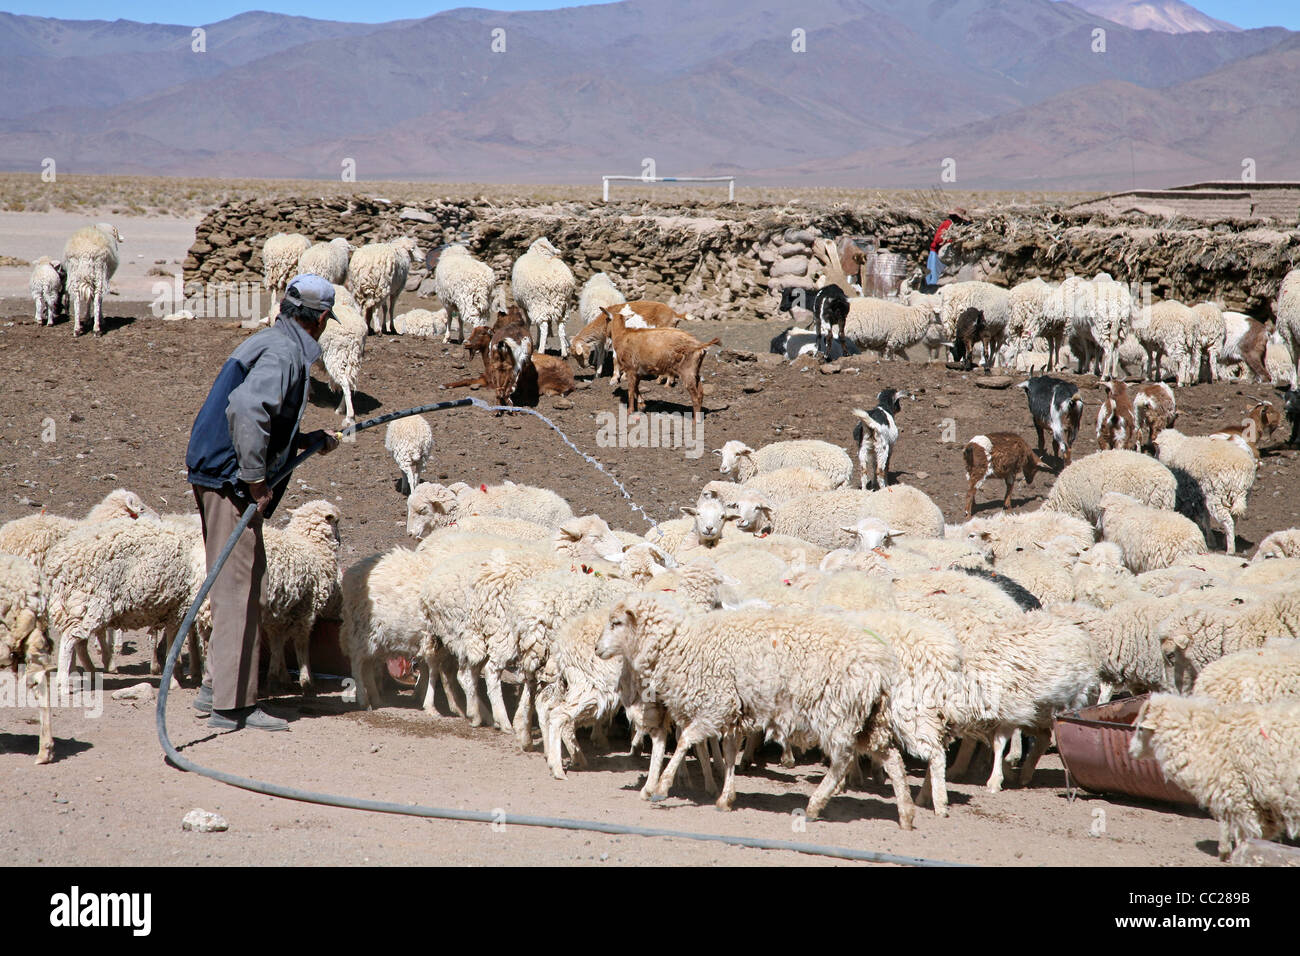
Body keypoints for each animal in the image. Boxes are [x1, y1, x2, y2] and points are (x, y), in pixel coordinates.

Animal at [260, 501, 341, 694]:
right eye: (337, 521)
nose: (341, 541)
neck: (312, 545)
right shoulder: (305, 610)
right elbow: (301, 643)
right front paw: (306, 680)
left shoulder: (280, 611)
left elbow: (277, 643)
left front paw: (281, 676)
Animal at [595, 594, 914, 824]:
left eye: (616, 623)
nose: (597, 649)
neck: (681, 645)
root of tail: (881, 666)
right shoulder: (733, 711)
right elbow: (728, 753)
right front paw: (725, 798)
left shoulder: (716, 704)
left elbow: (686, 740)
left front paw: (662, 787)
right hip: (868, 718)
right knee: (892, 759)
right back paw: (906, 814)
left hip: (837, 712)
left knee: (842, 761)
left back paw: (815, 805)